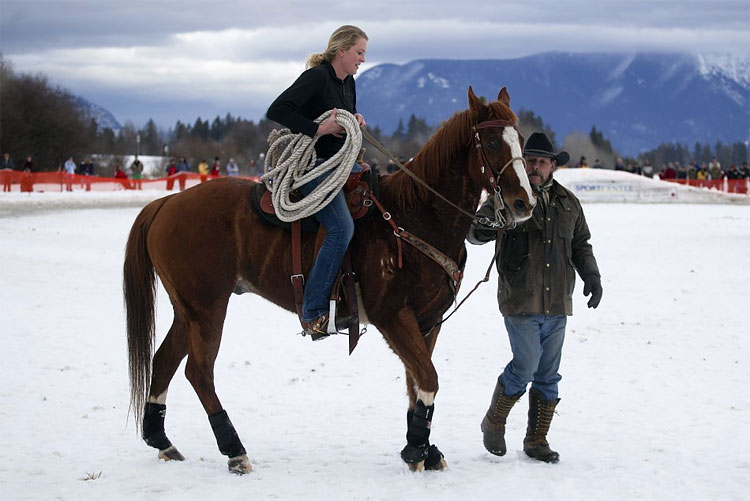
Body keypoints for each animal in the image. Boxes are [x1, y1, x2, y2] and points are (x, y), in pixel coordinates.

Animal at [124, 86, 535, 474]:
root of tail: (164, 203)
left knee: (163, 361)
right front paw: (417, 450)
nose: (524, 203)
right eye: (492, 142)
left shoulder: (428, 321)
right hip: (207, 307)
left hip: (187, 310)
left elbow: (416, 383)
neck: (416, 215)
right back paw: (235, 451)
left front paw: (423, 448)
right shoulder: (392, 317)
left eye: (520, 138)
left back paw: (162, 441)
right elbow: (428, 378)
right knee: (199, 372)